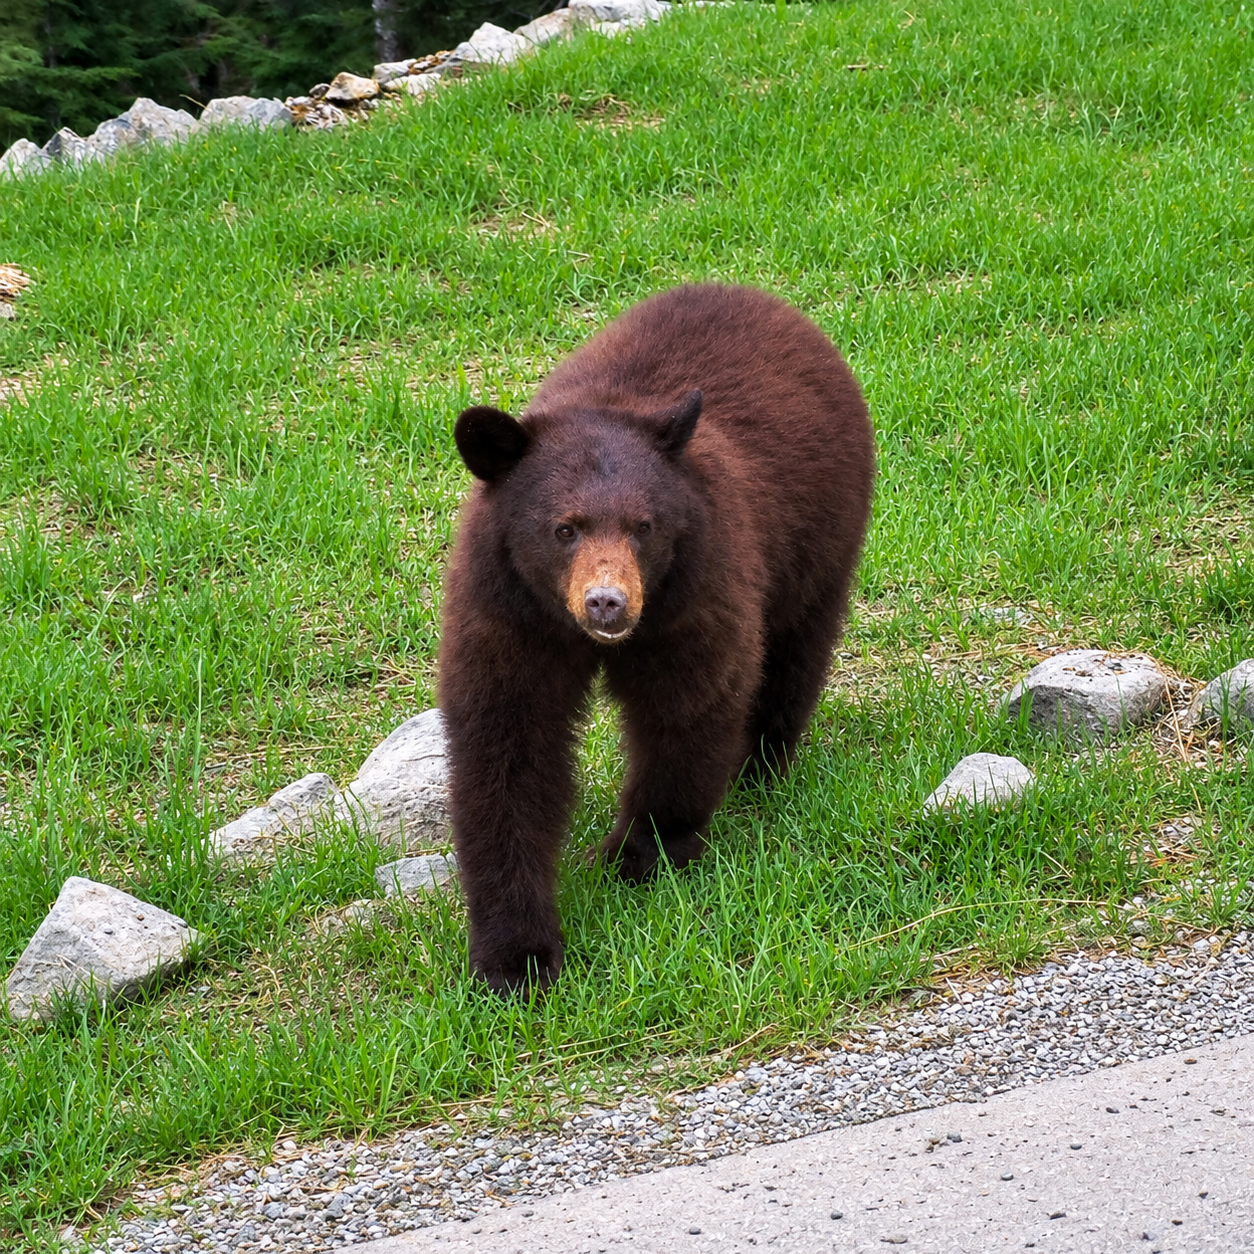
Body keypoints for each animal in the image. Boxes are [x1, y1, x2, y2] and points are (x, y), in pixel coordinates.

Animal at [438, 284, 874, 995]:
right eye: (565, 528)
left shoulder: (694, 588)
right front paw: (515, 957)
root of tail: (760, 297)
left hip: (819, 540)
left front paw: (640, 854)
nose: (607, 601)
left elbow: (688, 711)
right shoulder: (508, 611)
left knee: (793, 656)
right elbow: (505, 749)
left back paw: (761, 767)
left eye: (643, 526)